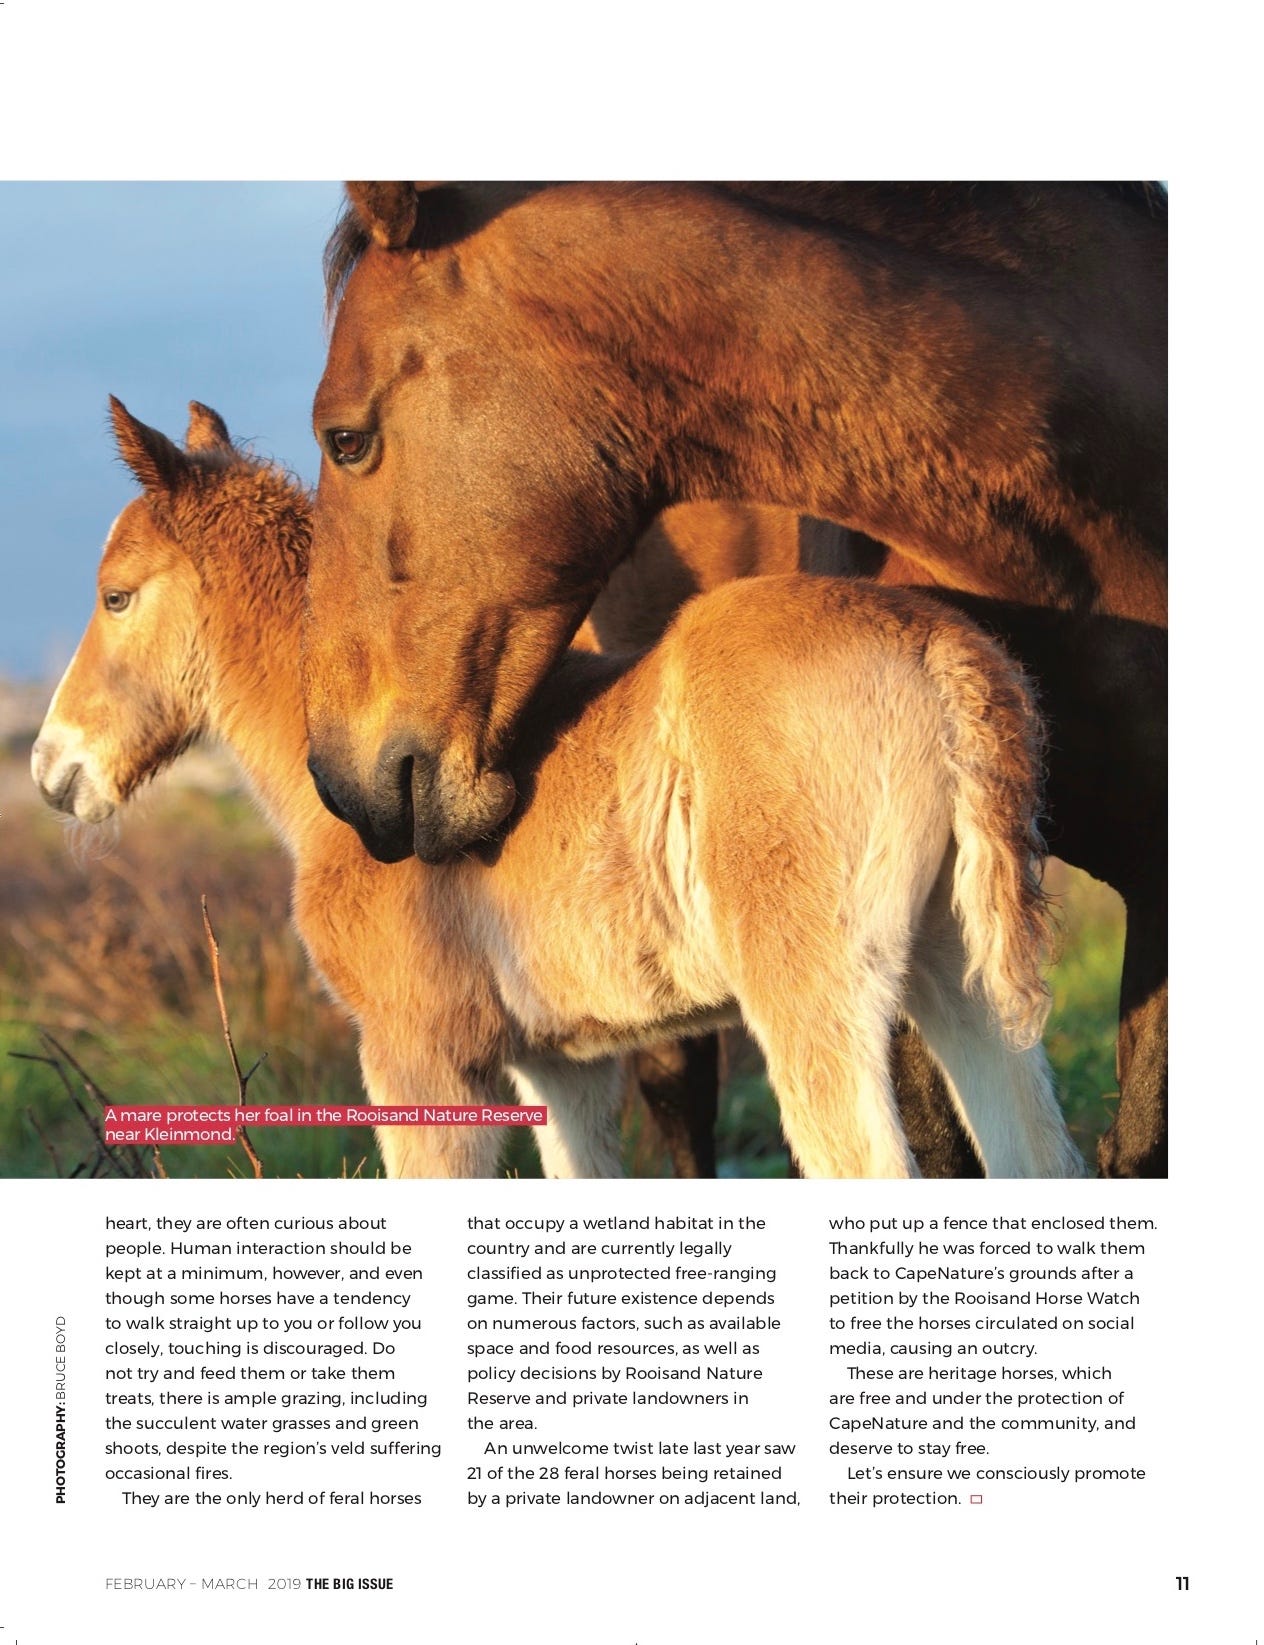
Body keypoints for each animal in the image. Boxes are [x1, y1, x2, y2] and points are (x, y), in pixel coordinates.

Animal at [30, 399, 1085, 1180]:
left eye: (116, 594)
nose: (51, 768)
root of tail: (943, 649)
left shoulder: (419, 1057)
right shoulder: (562, 1064)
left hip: (816, 994)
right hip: (960, 978)